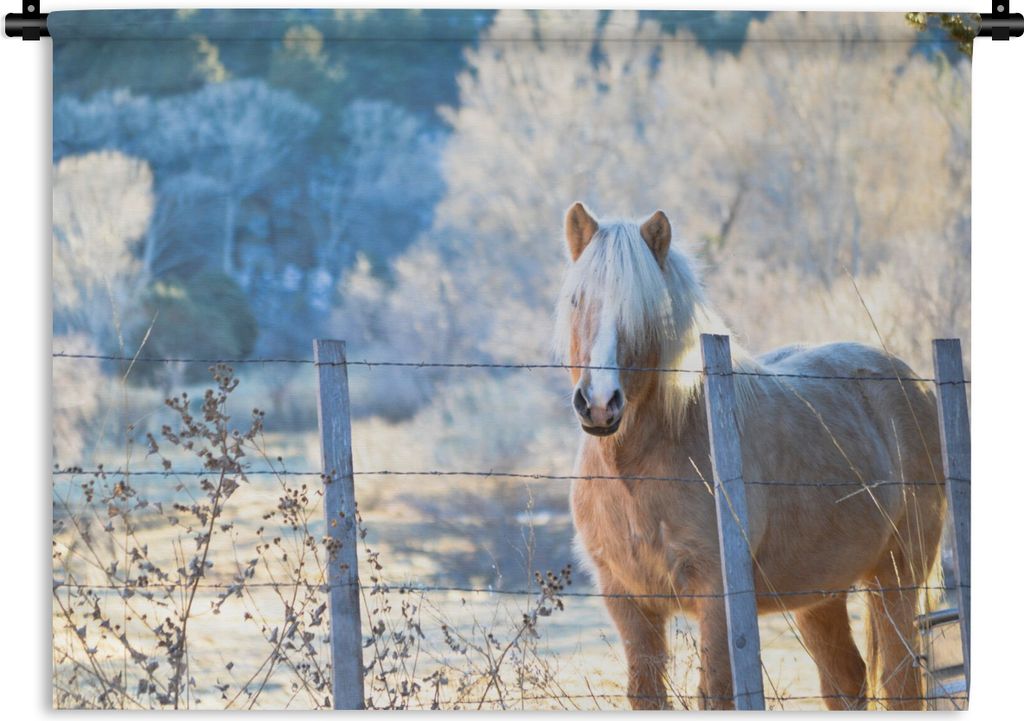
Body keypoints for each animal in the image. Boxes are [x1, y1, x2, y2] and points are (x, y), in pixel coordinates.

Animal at [554, 202, 947, 710]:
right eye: (577, 300)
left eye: (646, 311)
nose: (600, 404)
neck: (635, 474)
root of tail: (911, 382)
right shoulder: (628, 602)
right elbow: (647, 694)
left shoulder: (718, 600)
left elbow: (719, 693)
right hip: (822, 593)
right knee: (847, 681)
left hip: (896, 578)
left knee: (901, 684)